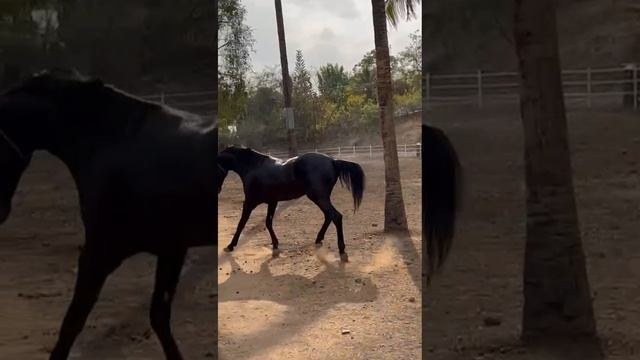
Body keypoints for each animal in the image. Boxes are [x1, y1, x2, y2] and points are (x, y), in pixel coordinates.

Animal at [0, 69, 218, 358]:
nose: (0, 211)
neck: (112, 141)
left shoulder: (100, 251)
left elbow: (72, 323)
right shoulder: (171, 248)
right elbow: (159, 316)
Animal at [218, 146, 364, 262]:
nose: (218, 190)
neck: (253, 167)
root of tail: (333, 161)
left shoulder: (250, 202)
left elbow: (241, 224)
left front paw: (230, 246)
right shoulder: (272, 202)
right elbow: (268, 222)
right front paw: (275, 245)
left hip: (318, 197)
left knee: (336, 217)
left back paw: (342, 251)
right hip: (320, 198)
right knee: (329, 216)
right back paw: (318, 239)